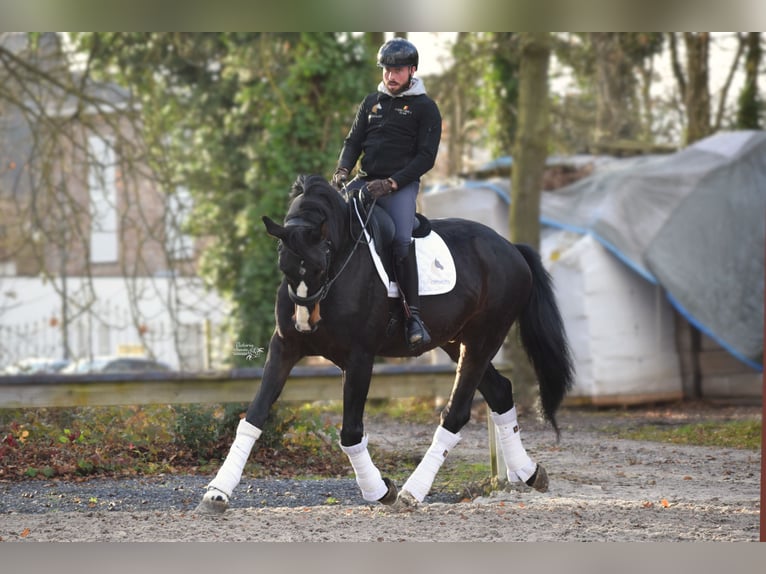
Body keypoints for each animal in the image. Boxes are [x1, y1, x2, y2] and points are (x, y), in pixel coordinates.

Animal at [198, 173, 576, 516]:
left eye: (321, 265)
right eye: (284, 265)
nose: (306, 322)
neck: (341, 264)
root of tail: (511, 248)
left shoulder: (359, 358)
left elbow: (351, 432)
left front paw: (380, 491)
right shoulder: (284, 347)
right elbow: (254, 416)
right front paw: (217, 492)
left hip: (484, 338)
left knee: (456, 413)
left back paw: (412, 492)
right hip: (457, 341)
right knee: (499, 391)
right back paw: (529, 473)